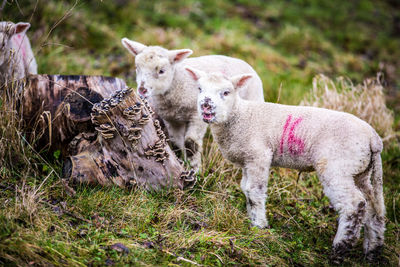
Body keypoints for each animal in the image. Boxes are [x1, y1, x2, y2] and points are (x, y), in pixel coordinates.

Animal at [186, 67, 386, 264]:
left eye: (226, 92)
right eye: (199, 89)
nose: (205, 105)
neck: (240, 116)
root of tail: (373, 138)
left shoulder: (259, 155)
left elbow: (254, 191)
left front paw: (260, 226)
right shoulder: (247, 161)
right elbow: (245, 189)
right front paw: (251, 220)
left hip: (337, 166)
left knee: (354, 204)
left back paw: (340, 249)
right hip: (361, 171)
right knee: (374, 209)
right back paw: (372, 251)